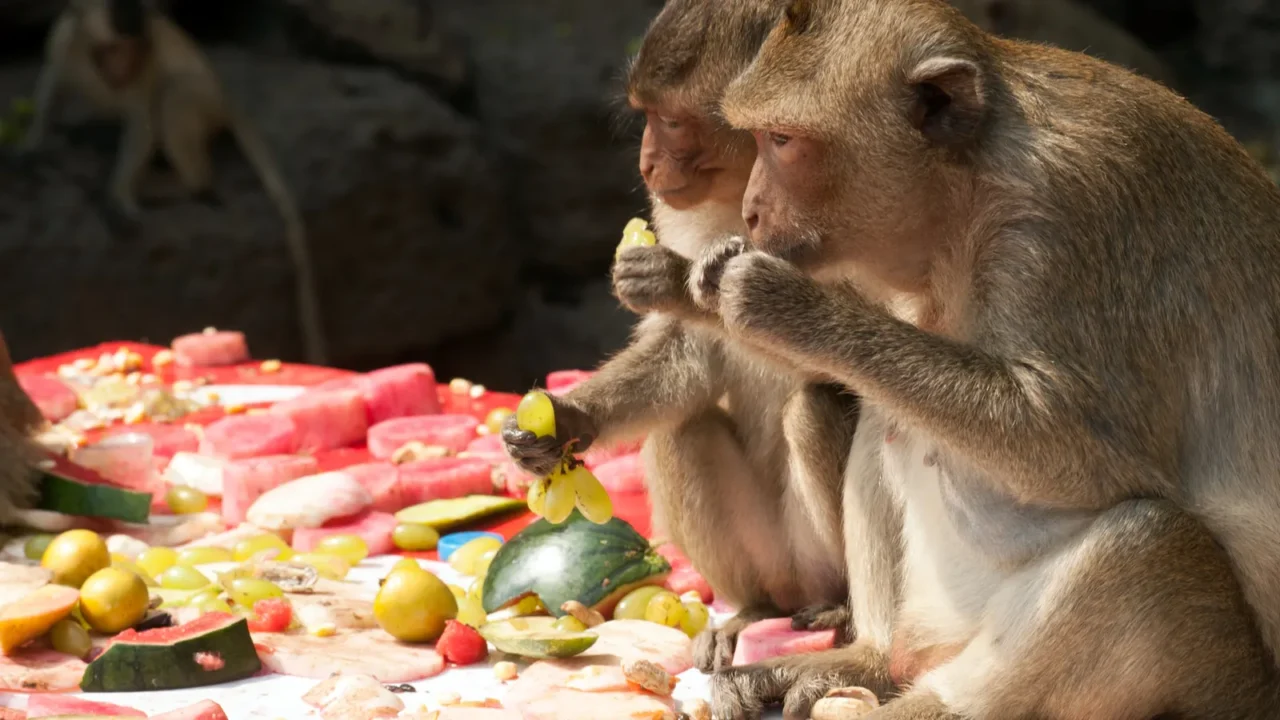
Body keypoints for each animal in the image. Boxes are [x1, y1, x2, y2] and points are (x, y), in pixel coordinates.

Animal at [20, 0, 328, 366]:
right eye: (122, 14)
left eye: (137, 14)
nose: (139, 27)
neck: (101, 48)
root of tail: (224, 97)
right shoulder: (66, 41)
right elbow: (52, 86)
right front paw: (32, 144)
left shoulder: (142, 54)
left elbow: (141, 117)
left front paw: (119, 196)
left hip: (205, 101)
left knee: (174, 94)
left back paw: (184, 184)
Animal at [502, 0, 863, 673]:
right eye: (643, 116)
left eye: (670, 121)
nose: (645, 162)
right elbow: (687, 357)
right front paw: (563, 422)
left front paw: (673, 280)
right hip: (774, 557)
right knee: (682, 430)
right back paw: (750, 611)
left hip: (815, 557)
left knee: (816, 407)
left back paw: (843, 608)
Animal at [680, 0, 1280, 717]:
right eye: (760, 137)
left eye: (782, 140)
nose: (749, 210)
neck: (966, 192)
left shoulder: (1065, 221)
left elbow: (1086, 452)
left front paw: (782, 303)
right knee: (891, 414)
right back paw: (866, 658)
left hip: (1227, 685)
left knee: (1145, 545)